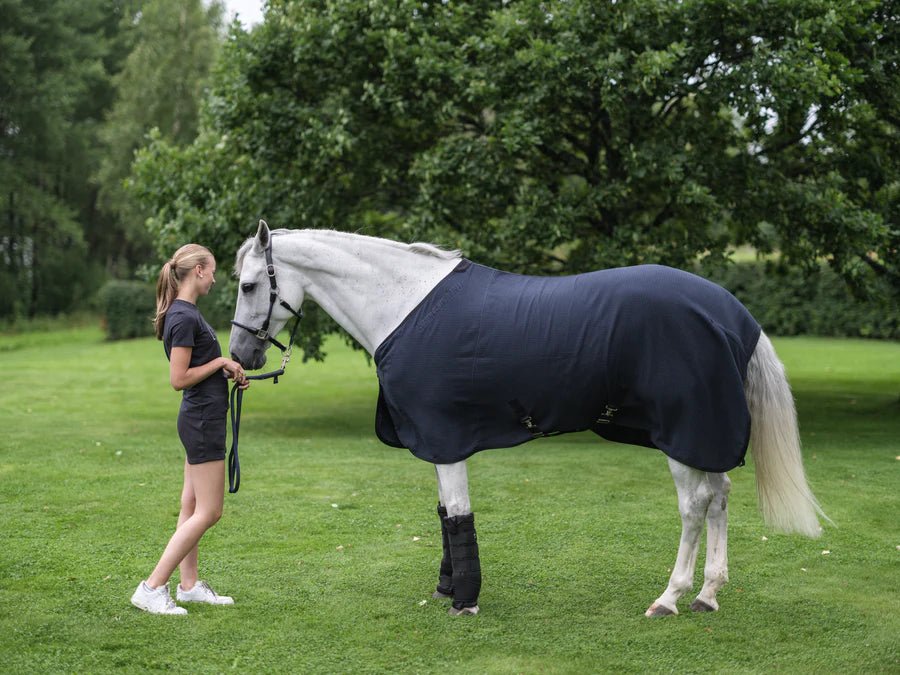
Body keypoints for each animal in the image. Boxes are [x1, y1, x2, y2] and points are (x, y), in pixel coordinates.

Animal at [229, 222, 828, 616]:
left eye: (248, 284)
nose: (241, 356)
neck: (402, 304)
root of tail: (733, 312)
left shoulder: (446, 439)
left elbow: (459, 515)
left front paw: (465, 602)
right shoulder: (438, 445)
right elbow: (444, 515)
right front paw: (447, 589)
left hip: (682, 435)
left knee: (696, 505)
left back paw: (671, 597)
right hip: (704, 435)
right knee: (721, 495)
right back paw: (708, 593)